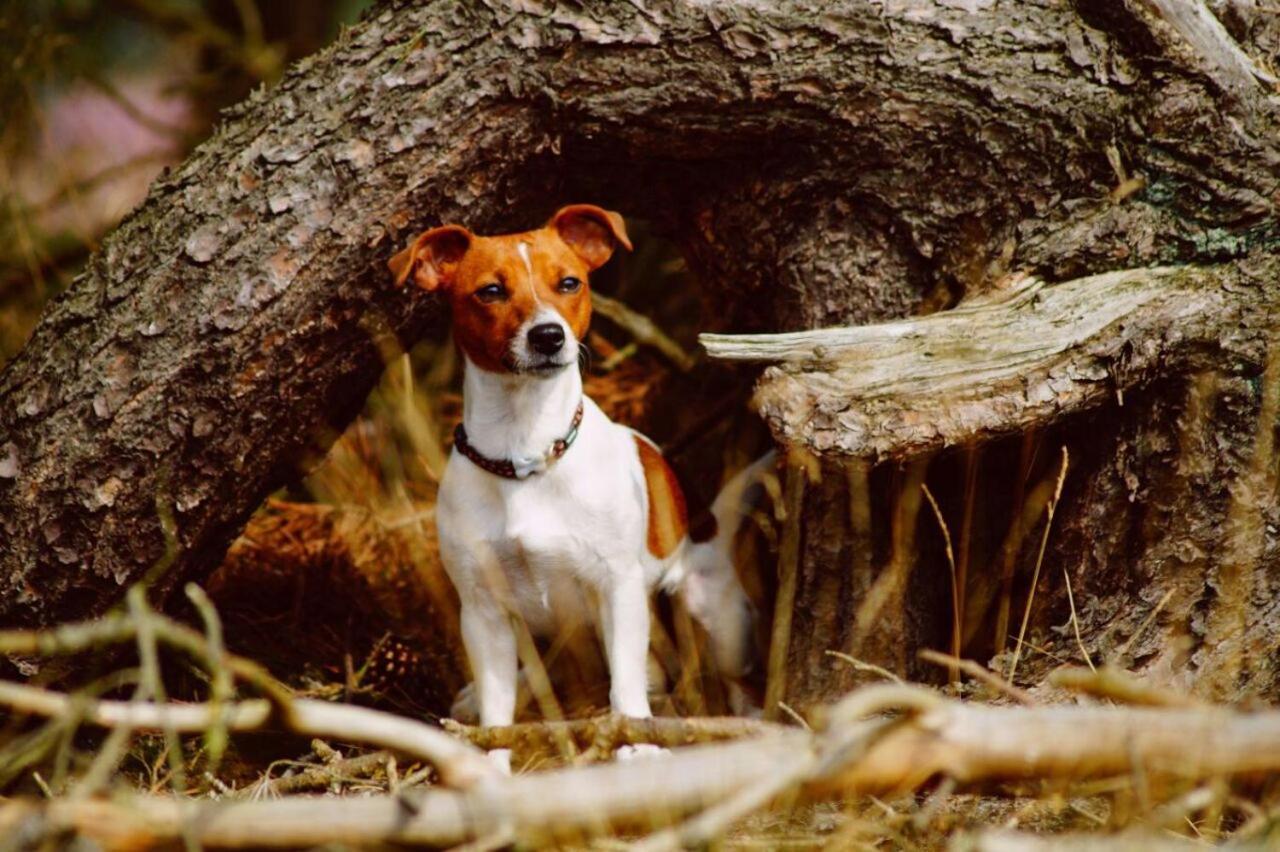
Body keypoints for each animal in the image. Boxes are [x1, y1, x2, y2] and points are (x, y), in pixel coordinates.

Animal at [389, 204, 762, 767]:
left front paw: (638, 746)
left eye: (569, 283)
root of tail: (706, 515)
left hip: (718, 618)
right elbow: (498, 714)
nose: (548, 336)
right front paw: (492, 766)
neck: (525, 455)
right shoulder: (483, 611)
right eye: (490, 291)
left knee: (726, 679)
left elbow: (625, 686)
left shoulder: (618, 589)